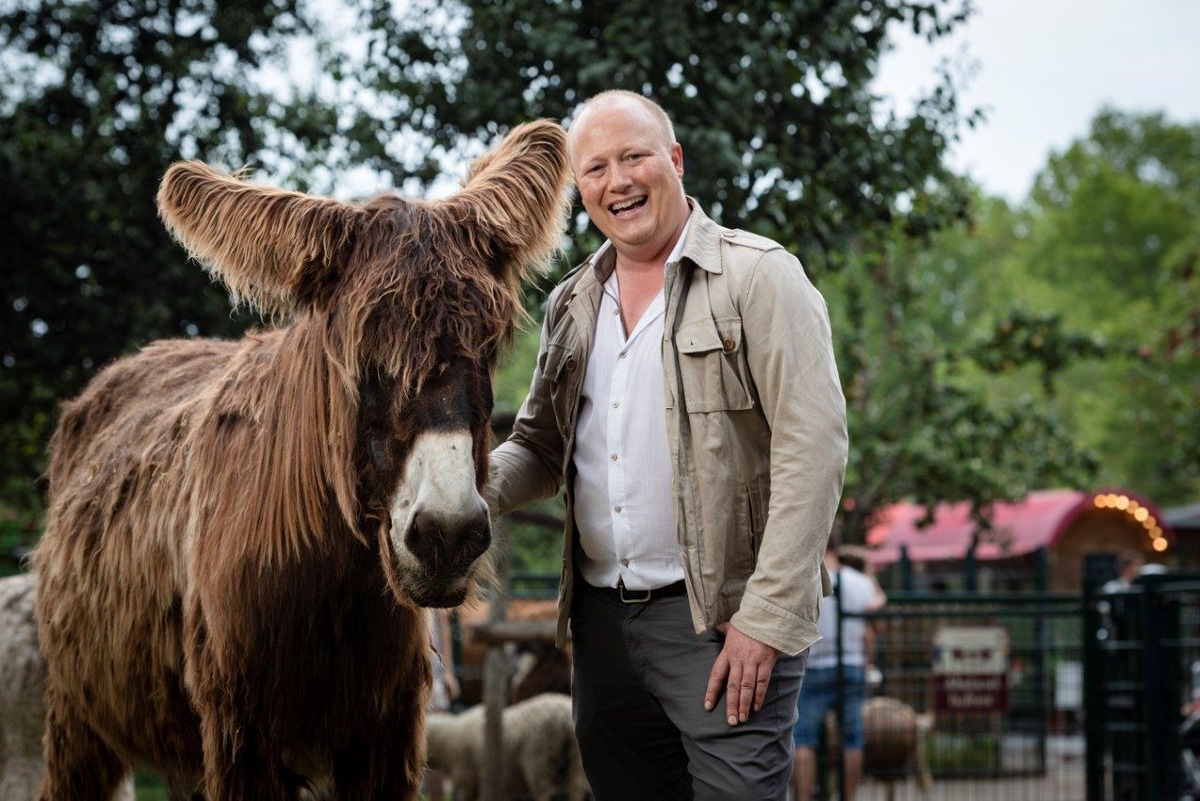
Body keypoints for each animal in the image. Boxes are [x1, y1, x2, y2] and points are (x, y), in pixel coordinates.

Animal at [424, 690, 588, 796]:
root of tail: (564, 719)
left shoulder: (469, 779)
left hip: (539, 760)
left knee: (547, 792)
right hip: (575, 759)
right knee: (578, 788)